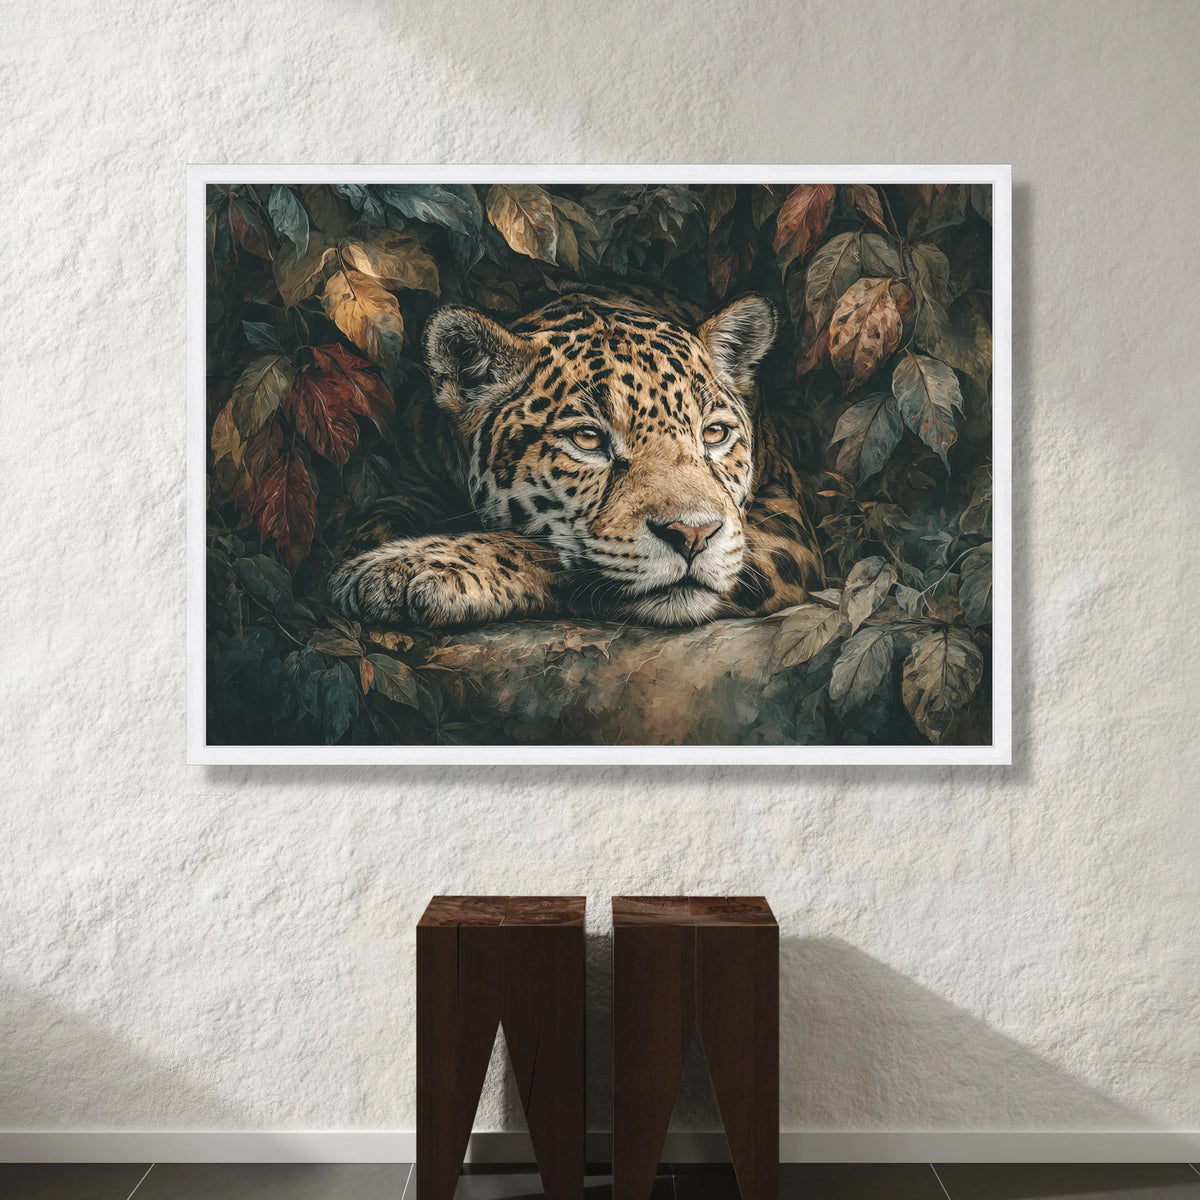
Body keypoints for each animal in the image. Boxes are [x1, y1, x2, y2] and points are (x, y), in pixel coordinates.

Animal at [328, 289, 825, 629]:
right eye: (588, 439)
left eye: (715, 434)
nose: (692, 534)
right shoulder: (403, 485)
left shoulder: (784, 529)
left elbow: (545, 552)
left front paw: (412, 568)